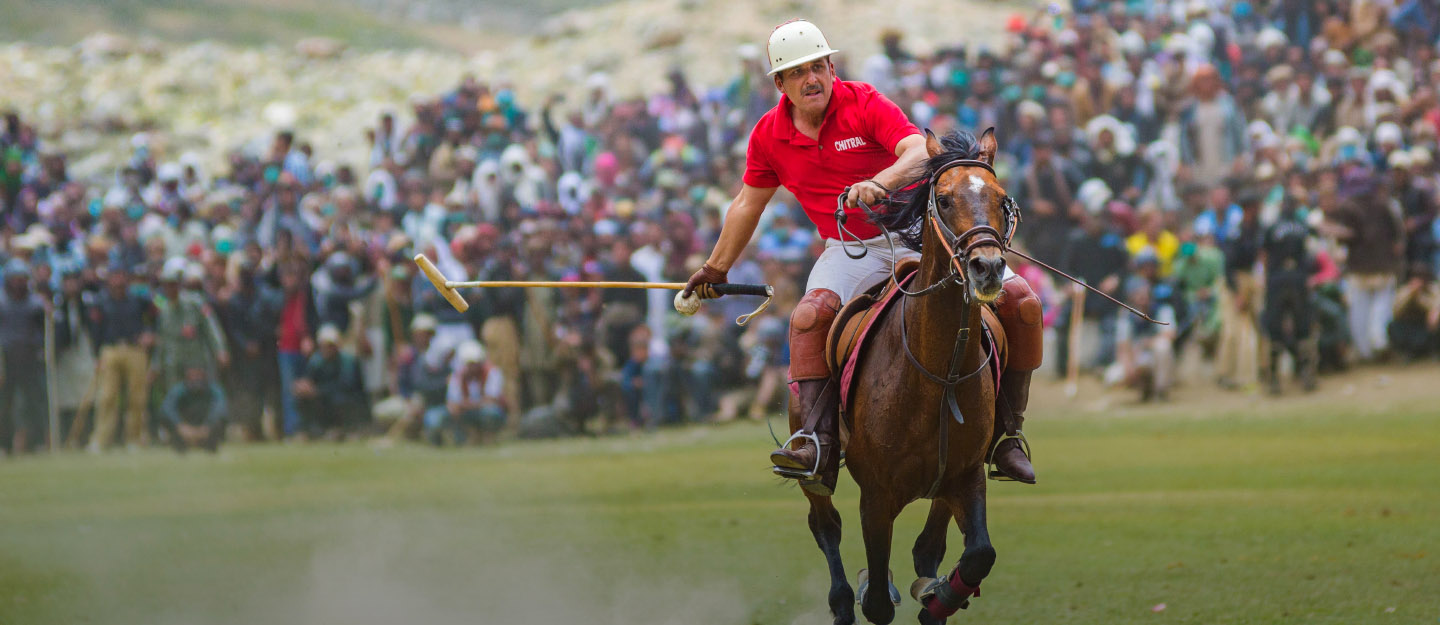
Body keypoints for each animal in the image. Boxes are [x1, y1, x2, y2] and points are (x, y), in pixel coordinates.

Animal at [800, 128, 1013, 625]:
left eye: (1001, 199)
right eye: (945, 199)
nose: (988, 267)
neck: (938, 374)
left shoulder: (966, 477)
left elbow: (979, 554)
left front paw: (940, 599)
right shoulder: (876, 496)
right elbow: (877, 598)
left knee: (928, 547)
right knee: (825, 524)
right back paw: (842, 600)